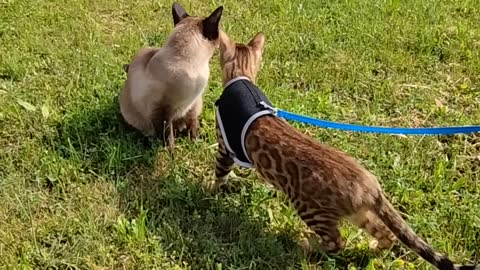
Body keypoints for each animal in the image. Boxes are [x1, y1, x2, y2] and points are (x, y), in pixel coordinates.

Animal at [120, 2, 225, 149]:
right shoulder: (162, 111)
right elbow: (168, 136)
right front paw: (171, 152)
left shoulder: (192, 105)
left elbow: (193, 126)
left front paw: (194, 143)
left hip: (197, 104)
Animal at [211, 30, 480, 270]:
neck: (243, 79)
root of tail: (370, 186)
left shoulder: (224, 146)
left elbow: (219, 173)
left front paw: (211, 192)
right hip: (359, 214)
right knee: (386, 234)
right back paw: (372, 249)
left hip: (311, 209)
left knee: (337, 242)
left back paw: (307, 246)